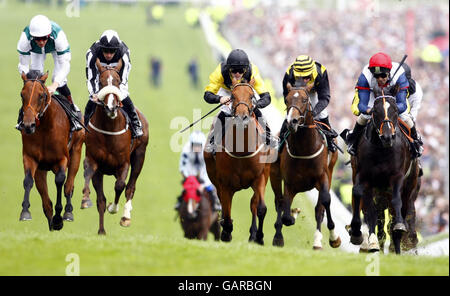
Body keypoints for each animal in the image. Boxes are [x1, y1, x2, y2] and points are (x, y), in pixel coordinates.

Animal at [18, 70, 84, 230]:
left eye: (41, 95)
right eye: (22, 94)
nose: (28, 125)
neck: (45, 129)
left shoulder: (62, 159)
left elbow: (60, 180)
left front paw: (59, 218)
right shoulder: (30, 157)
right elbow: (28, 181)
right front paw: (25, 212)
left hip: (77, 151)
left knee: (69, 185)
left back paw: (67, 212)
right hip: (42, 169)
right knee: (46, 200)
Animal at [82, 58, 149, 234]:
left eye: (118, 81)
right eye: (101, 81)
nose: (111, 107)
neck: (109, 130)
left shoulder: (123, 163)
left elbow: (120, 186)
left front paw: (114, 208)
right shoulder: (95, 163)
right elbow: (100, 199)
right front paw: (101, 231)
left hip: (139, 156)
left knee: (130, 187)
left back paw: (125, 217)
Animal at [205, 77, 274, 244]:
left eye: (251, 96)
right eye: (233, 96)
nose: (242, 117)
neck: (242, 151)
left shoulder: (260, 178)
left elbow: (261, 208)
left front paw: (259, 237)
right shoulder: (225, 184)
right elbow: (226, 212)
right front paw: (226, 232)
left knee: (253, 203)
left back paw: (253, 234)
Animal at [268, 81, 340, 250]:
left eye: (305, 100)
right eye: (286, 100)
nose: (292, 121)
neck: (304, 148)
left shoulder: (323, 177)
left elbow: (324, 202)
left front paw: (333, 238)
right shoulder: (289, 183)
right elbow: (286, 214)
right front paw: (292, 214)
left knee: (319, 207)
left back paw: (317, 241)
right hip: (275, 175)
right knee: (279, 202)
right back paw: (278, 236)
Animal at [348, 84, 422, 254]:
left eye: (395, 110)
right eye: (375, 111)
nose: (387, 137)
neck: (382, 150)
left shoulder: (397, 177)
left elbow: (396, 203)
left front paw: (399, 230)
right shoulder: (365, 178)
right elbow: (366, 207)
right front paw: (365, 238)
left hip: (409, 187)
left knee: (401, 210)